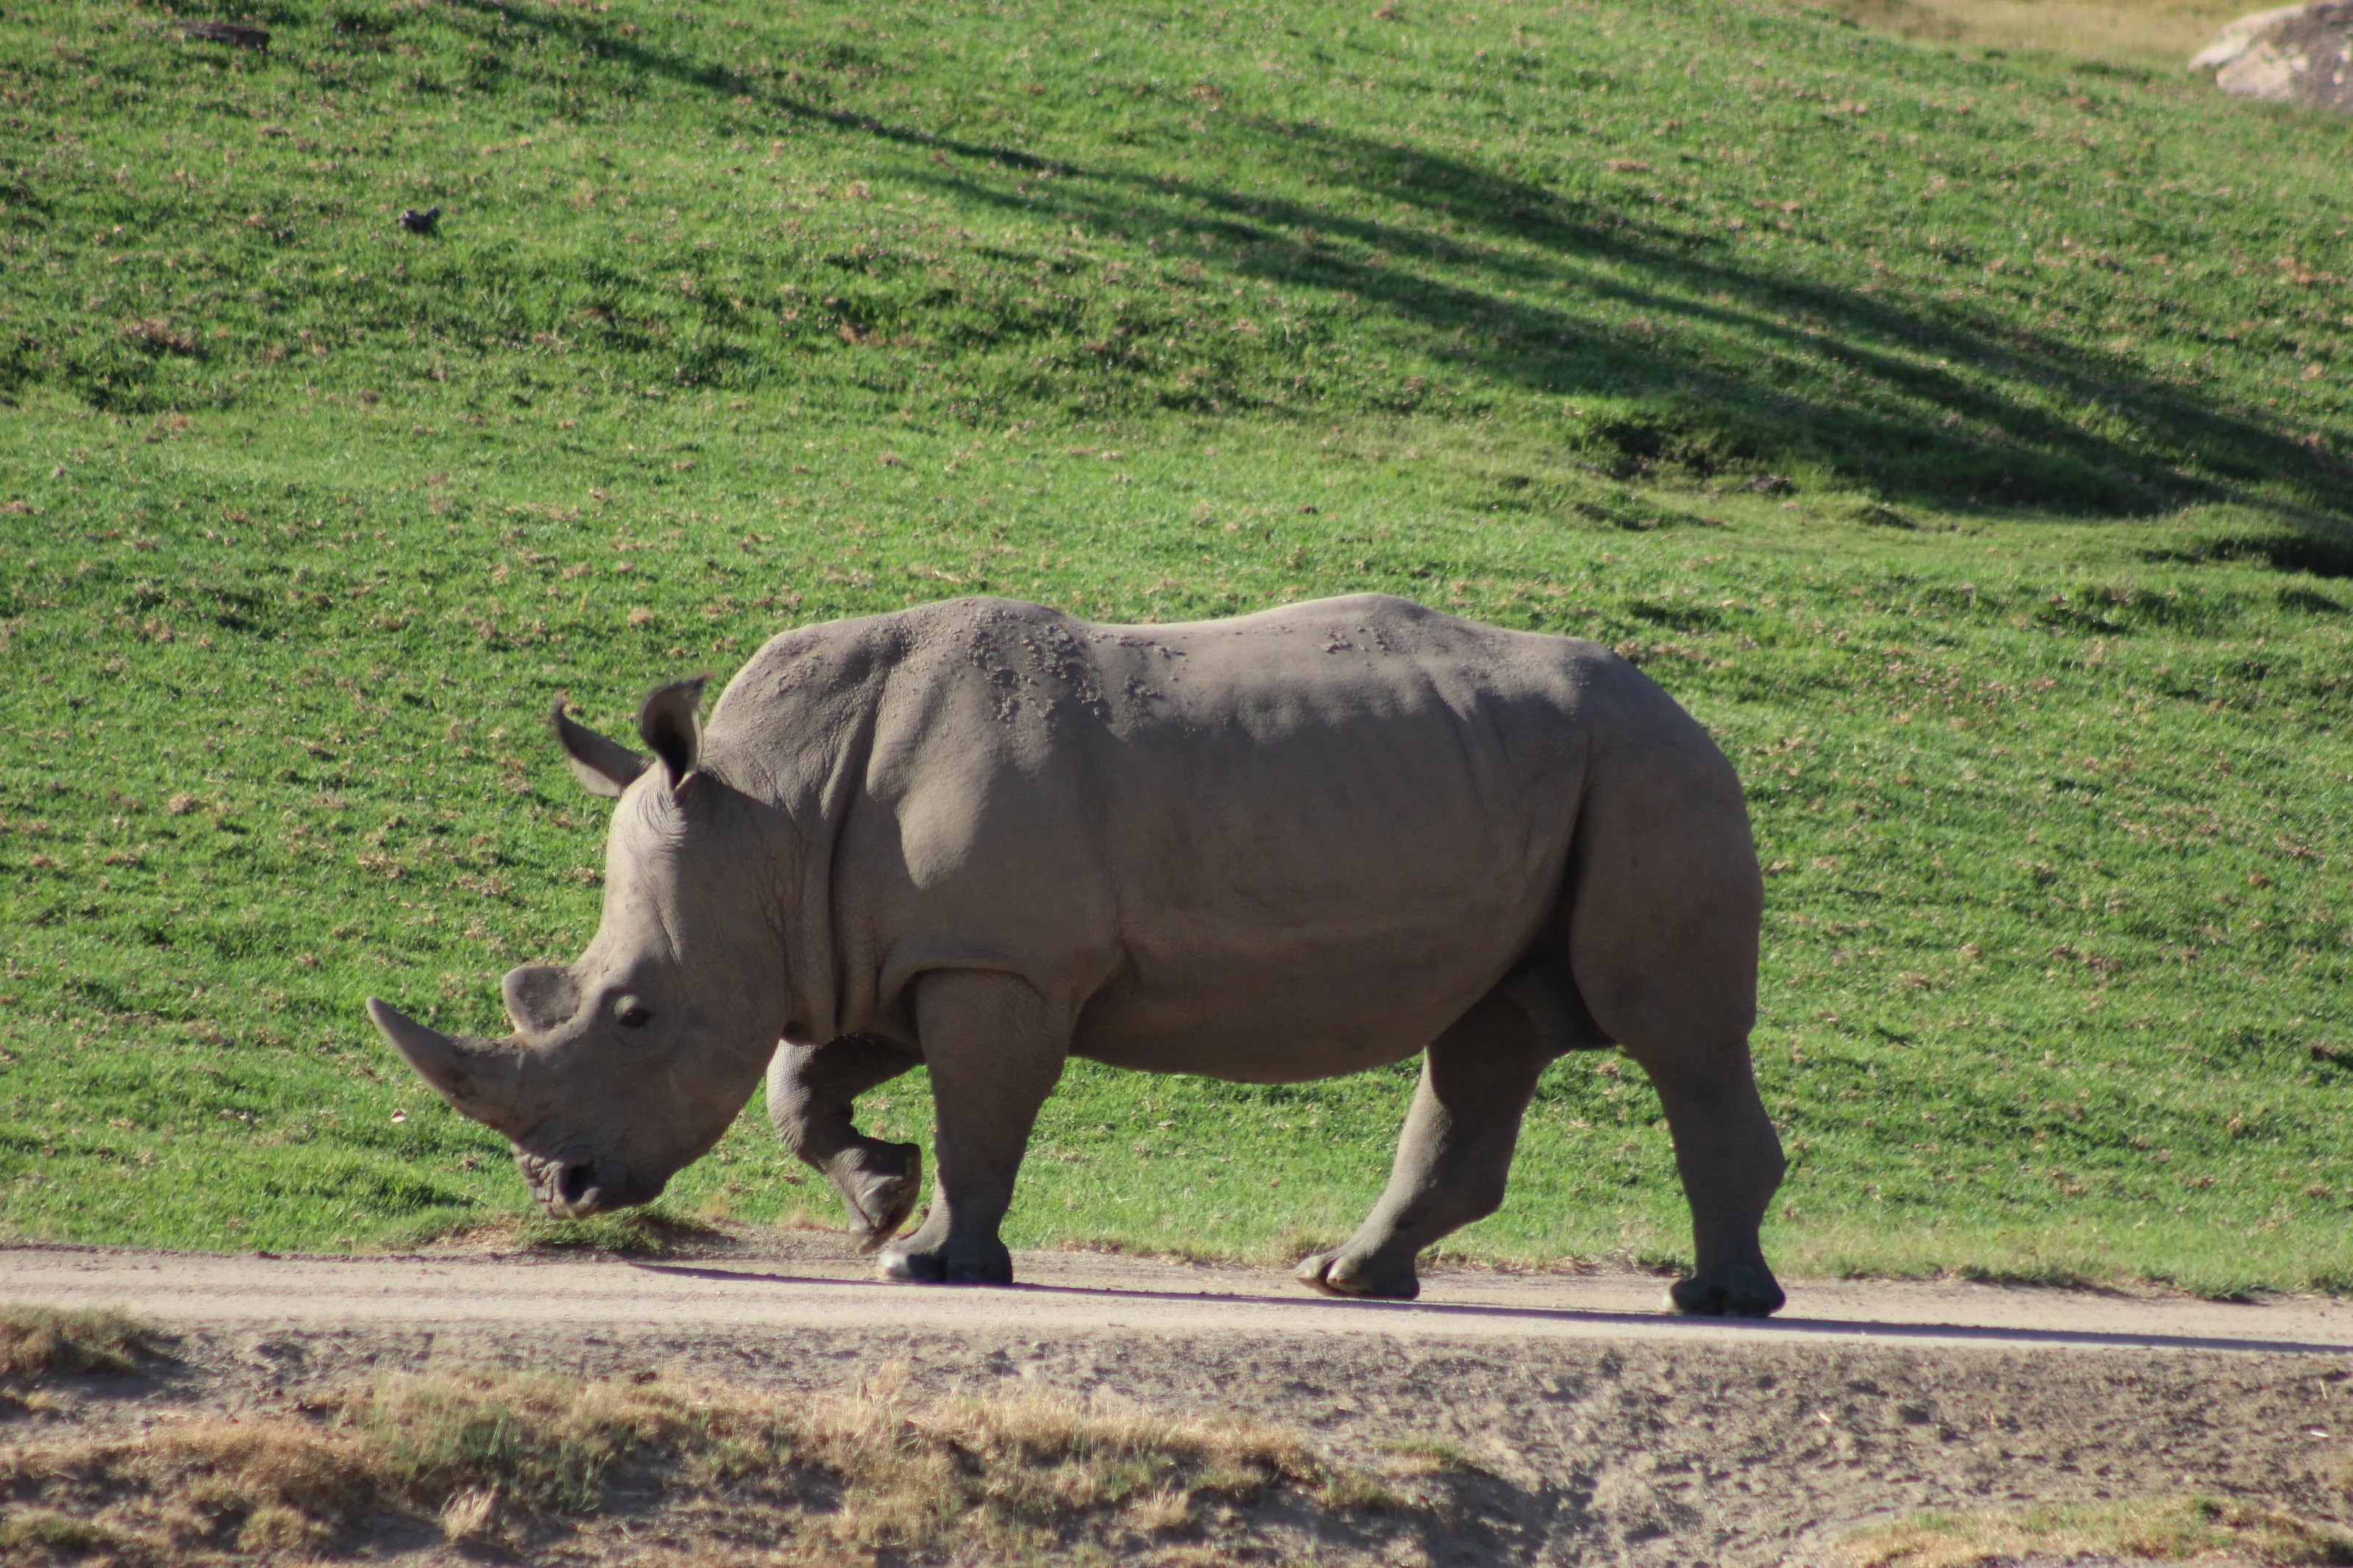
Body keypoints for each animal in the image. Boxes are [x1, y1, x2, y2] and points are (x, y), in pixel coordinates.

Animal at [367, 593, 1788, 1315]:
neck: (771, 806)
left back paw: (1714, 1301)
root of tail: (1686, 707)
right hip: (1555, 780)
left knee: (1671, 1033)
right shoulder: (884, 945)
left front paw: (928, 1261)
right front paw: (878, 1194)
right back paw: (1349, 1279)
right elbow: (799, 1080)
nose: (560, 1188)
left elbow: (981, 1114)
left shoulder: (1000, 963)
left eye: (633, 1016)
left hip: (1656, 777)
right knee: (1490, 1030)